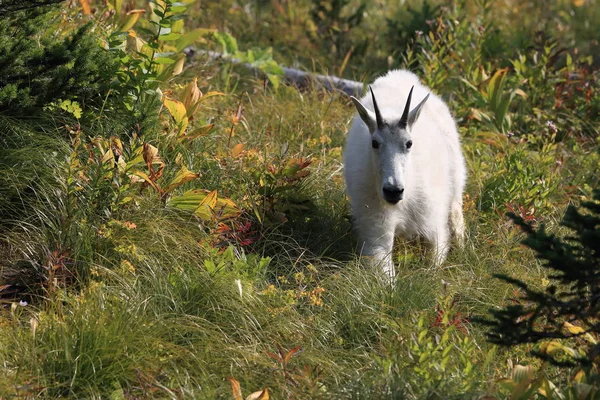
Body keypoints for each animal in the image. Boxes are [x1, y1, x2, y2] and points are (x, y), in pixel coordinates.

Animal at [342, 69, 468, 282]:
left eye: (409, 143)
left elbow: (434, 260)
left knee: (457, 216)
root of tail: (402, 75)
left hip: (456, 182)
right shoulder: (377, 226)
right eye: (374, 143)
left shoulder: (432, 223)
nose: (393, 190)